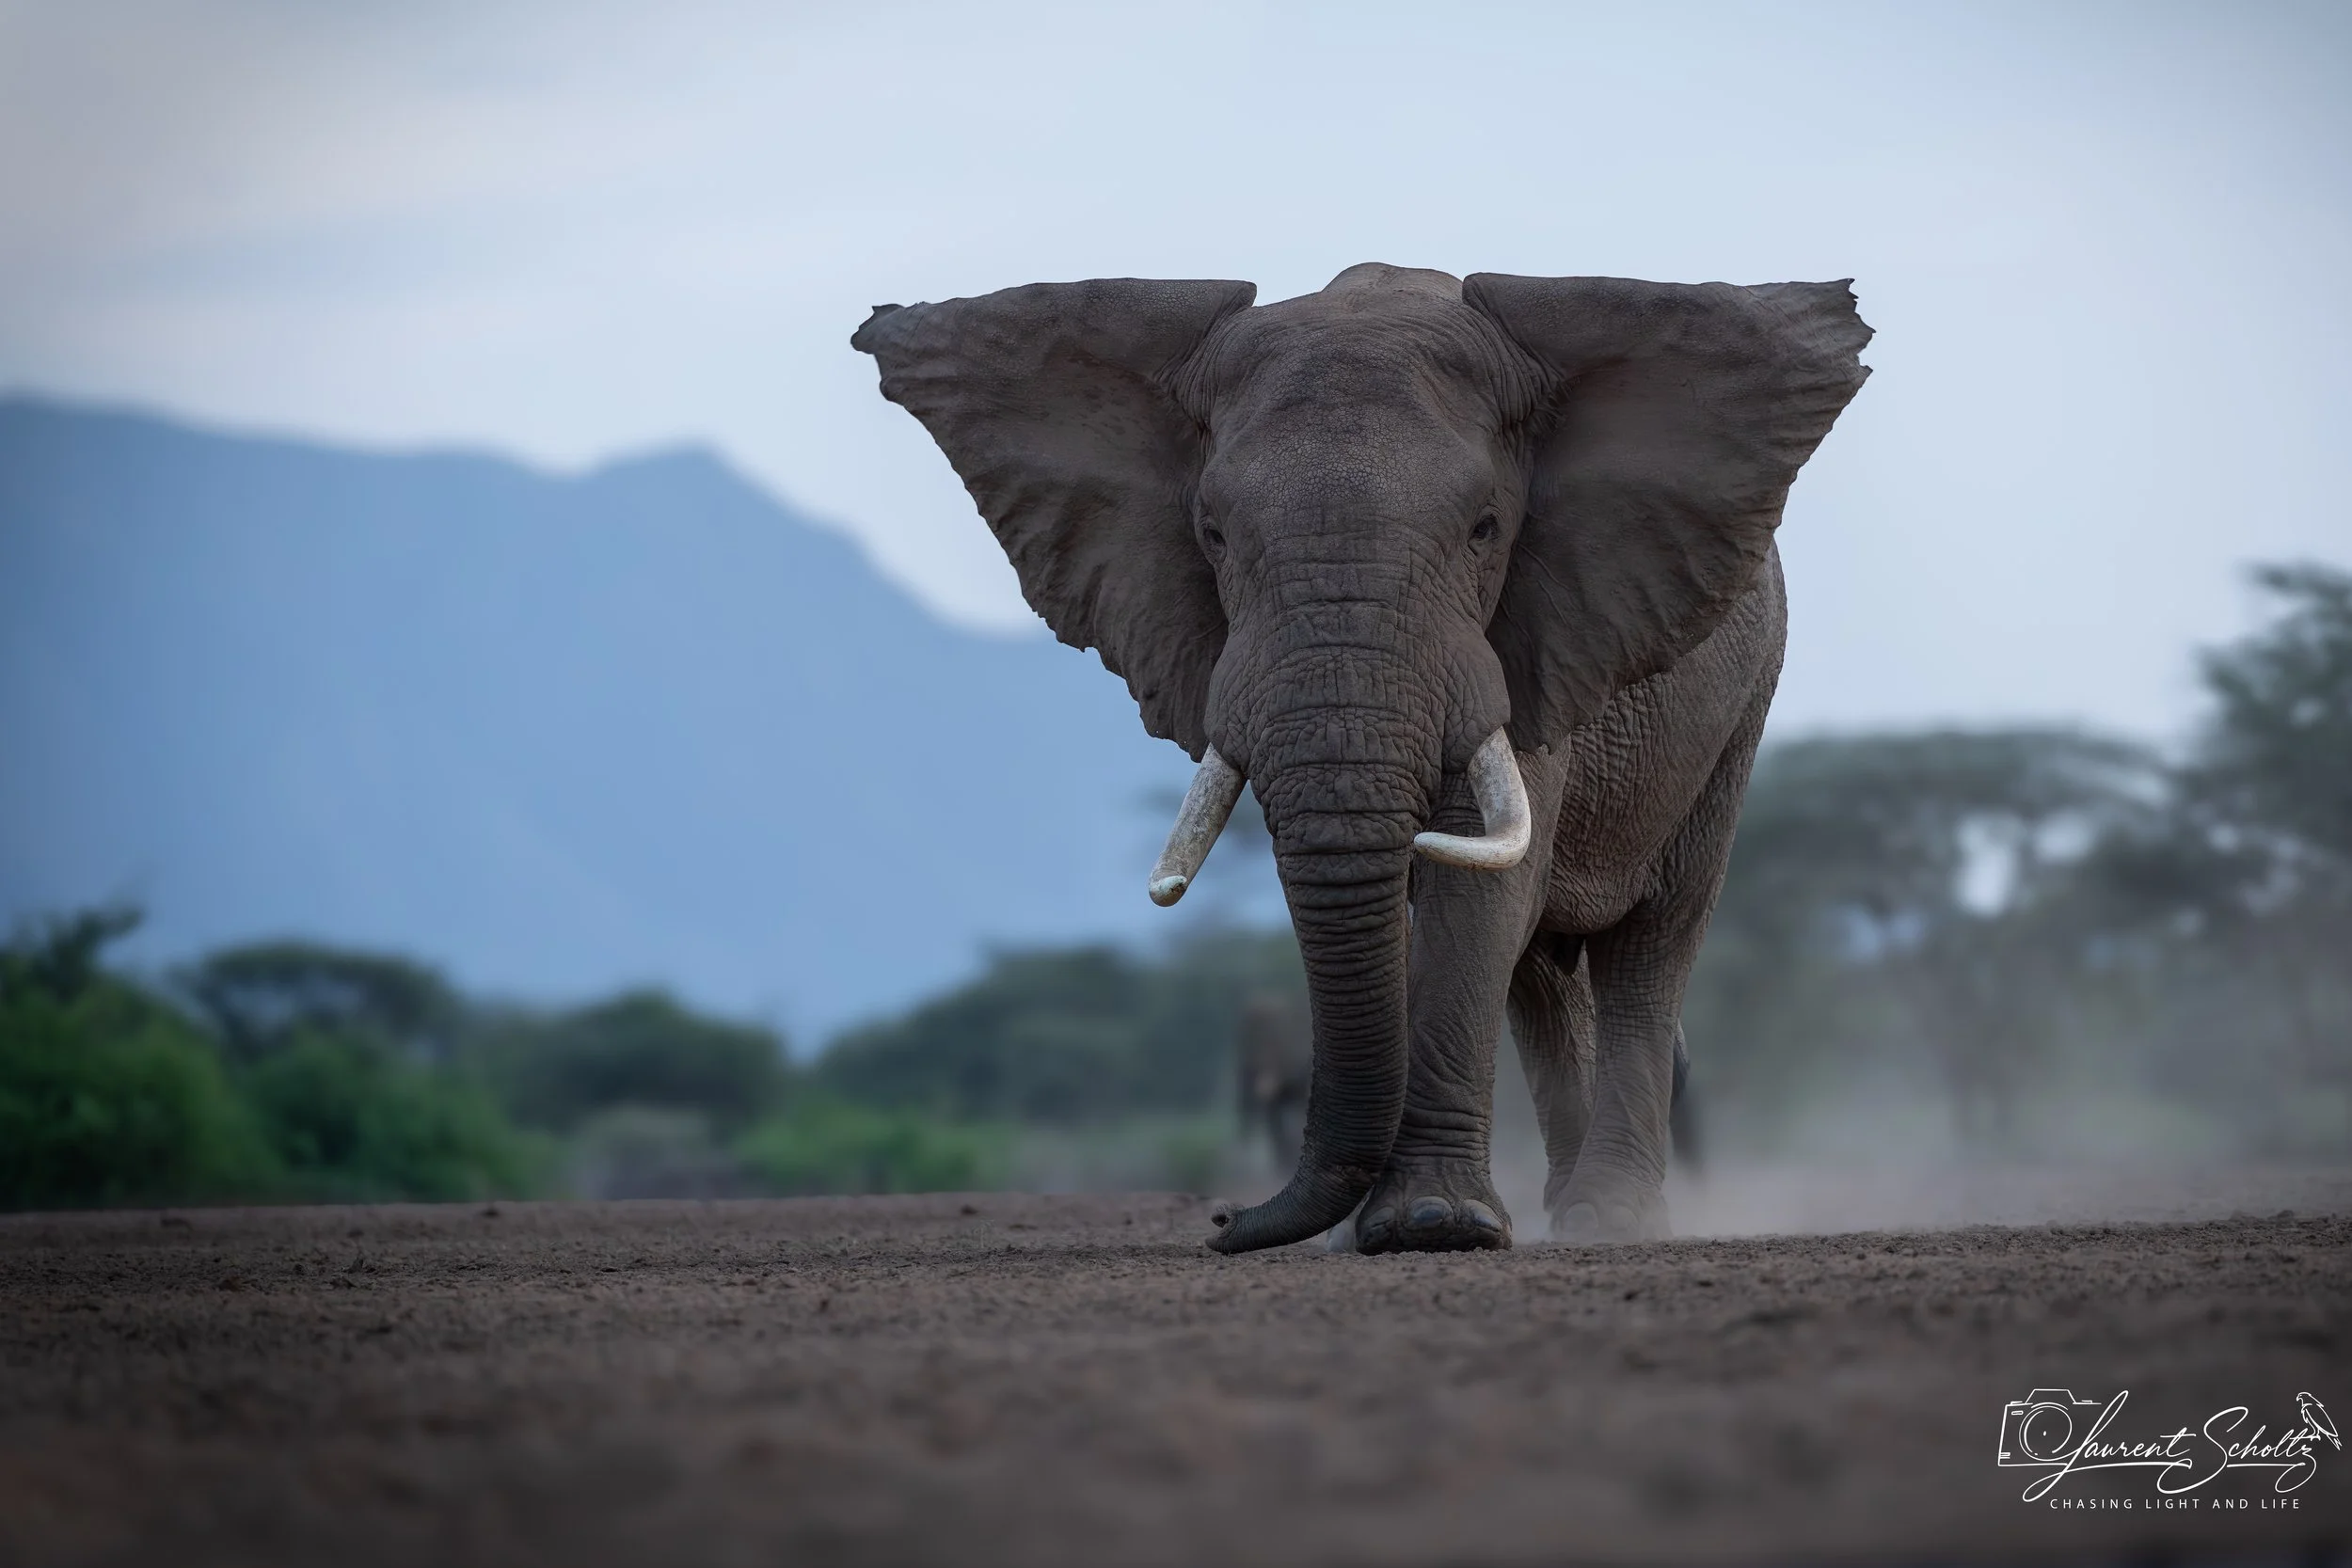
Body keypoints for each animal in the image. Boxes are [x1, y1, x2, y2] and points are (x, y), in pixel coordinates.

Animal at [853, 263, 1869, 1254]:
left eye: (1485, 527)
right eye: (1213, 533)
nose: (1222, 1220)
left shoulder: (1526, 632)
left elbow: (1474, 882)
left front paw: (1435, 1227)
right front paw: (1388, 1229)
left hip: (1738, 705)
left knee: (1653, 936)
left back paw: (1608, 1222)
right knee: (1544, 974)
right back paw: (1559, 1213)